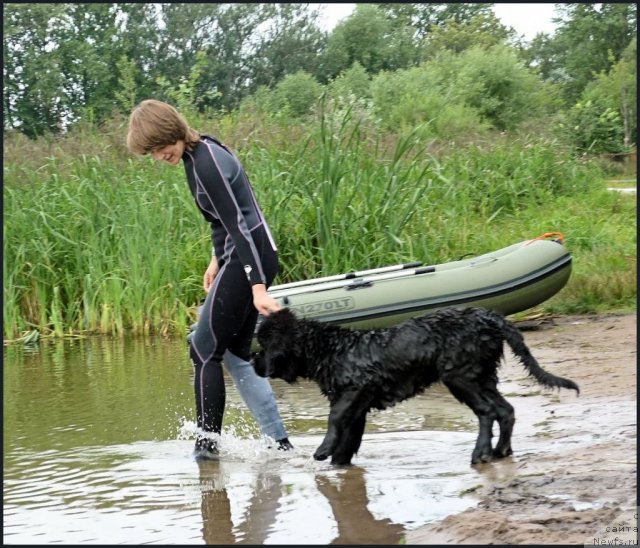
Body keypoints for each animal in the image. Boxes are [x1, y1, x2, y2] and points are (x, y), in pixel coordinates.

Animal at [254, 306, 580, 464]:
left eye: (263, 345)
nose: (253, 361)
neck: (330, 350)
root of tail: (490, 318)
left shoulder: (354, 391)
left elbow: (334, 419)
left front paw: (321, 450)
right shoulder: (358, 407)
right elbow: (347, 443)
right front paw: (338, 464)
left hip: (459, 376)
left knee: (487, 411)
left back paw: (481, 454)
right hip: (482, 375)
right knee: (506, 410)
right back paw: (500, 451)